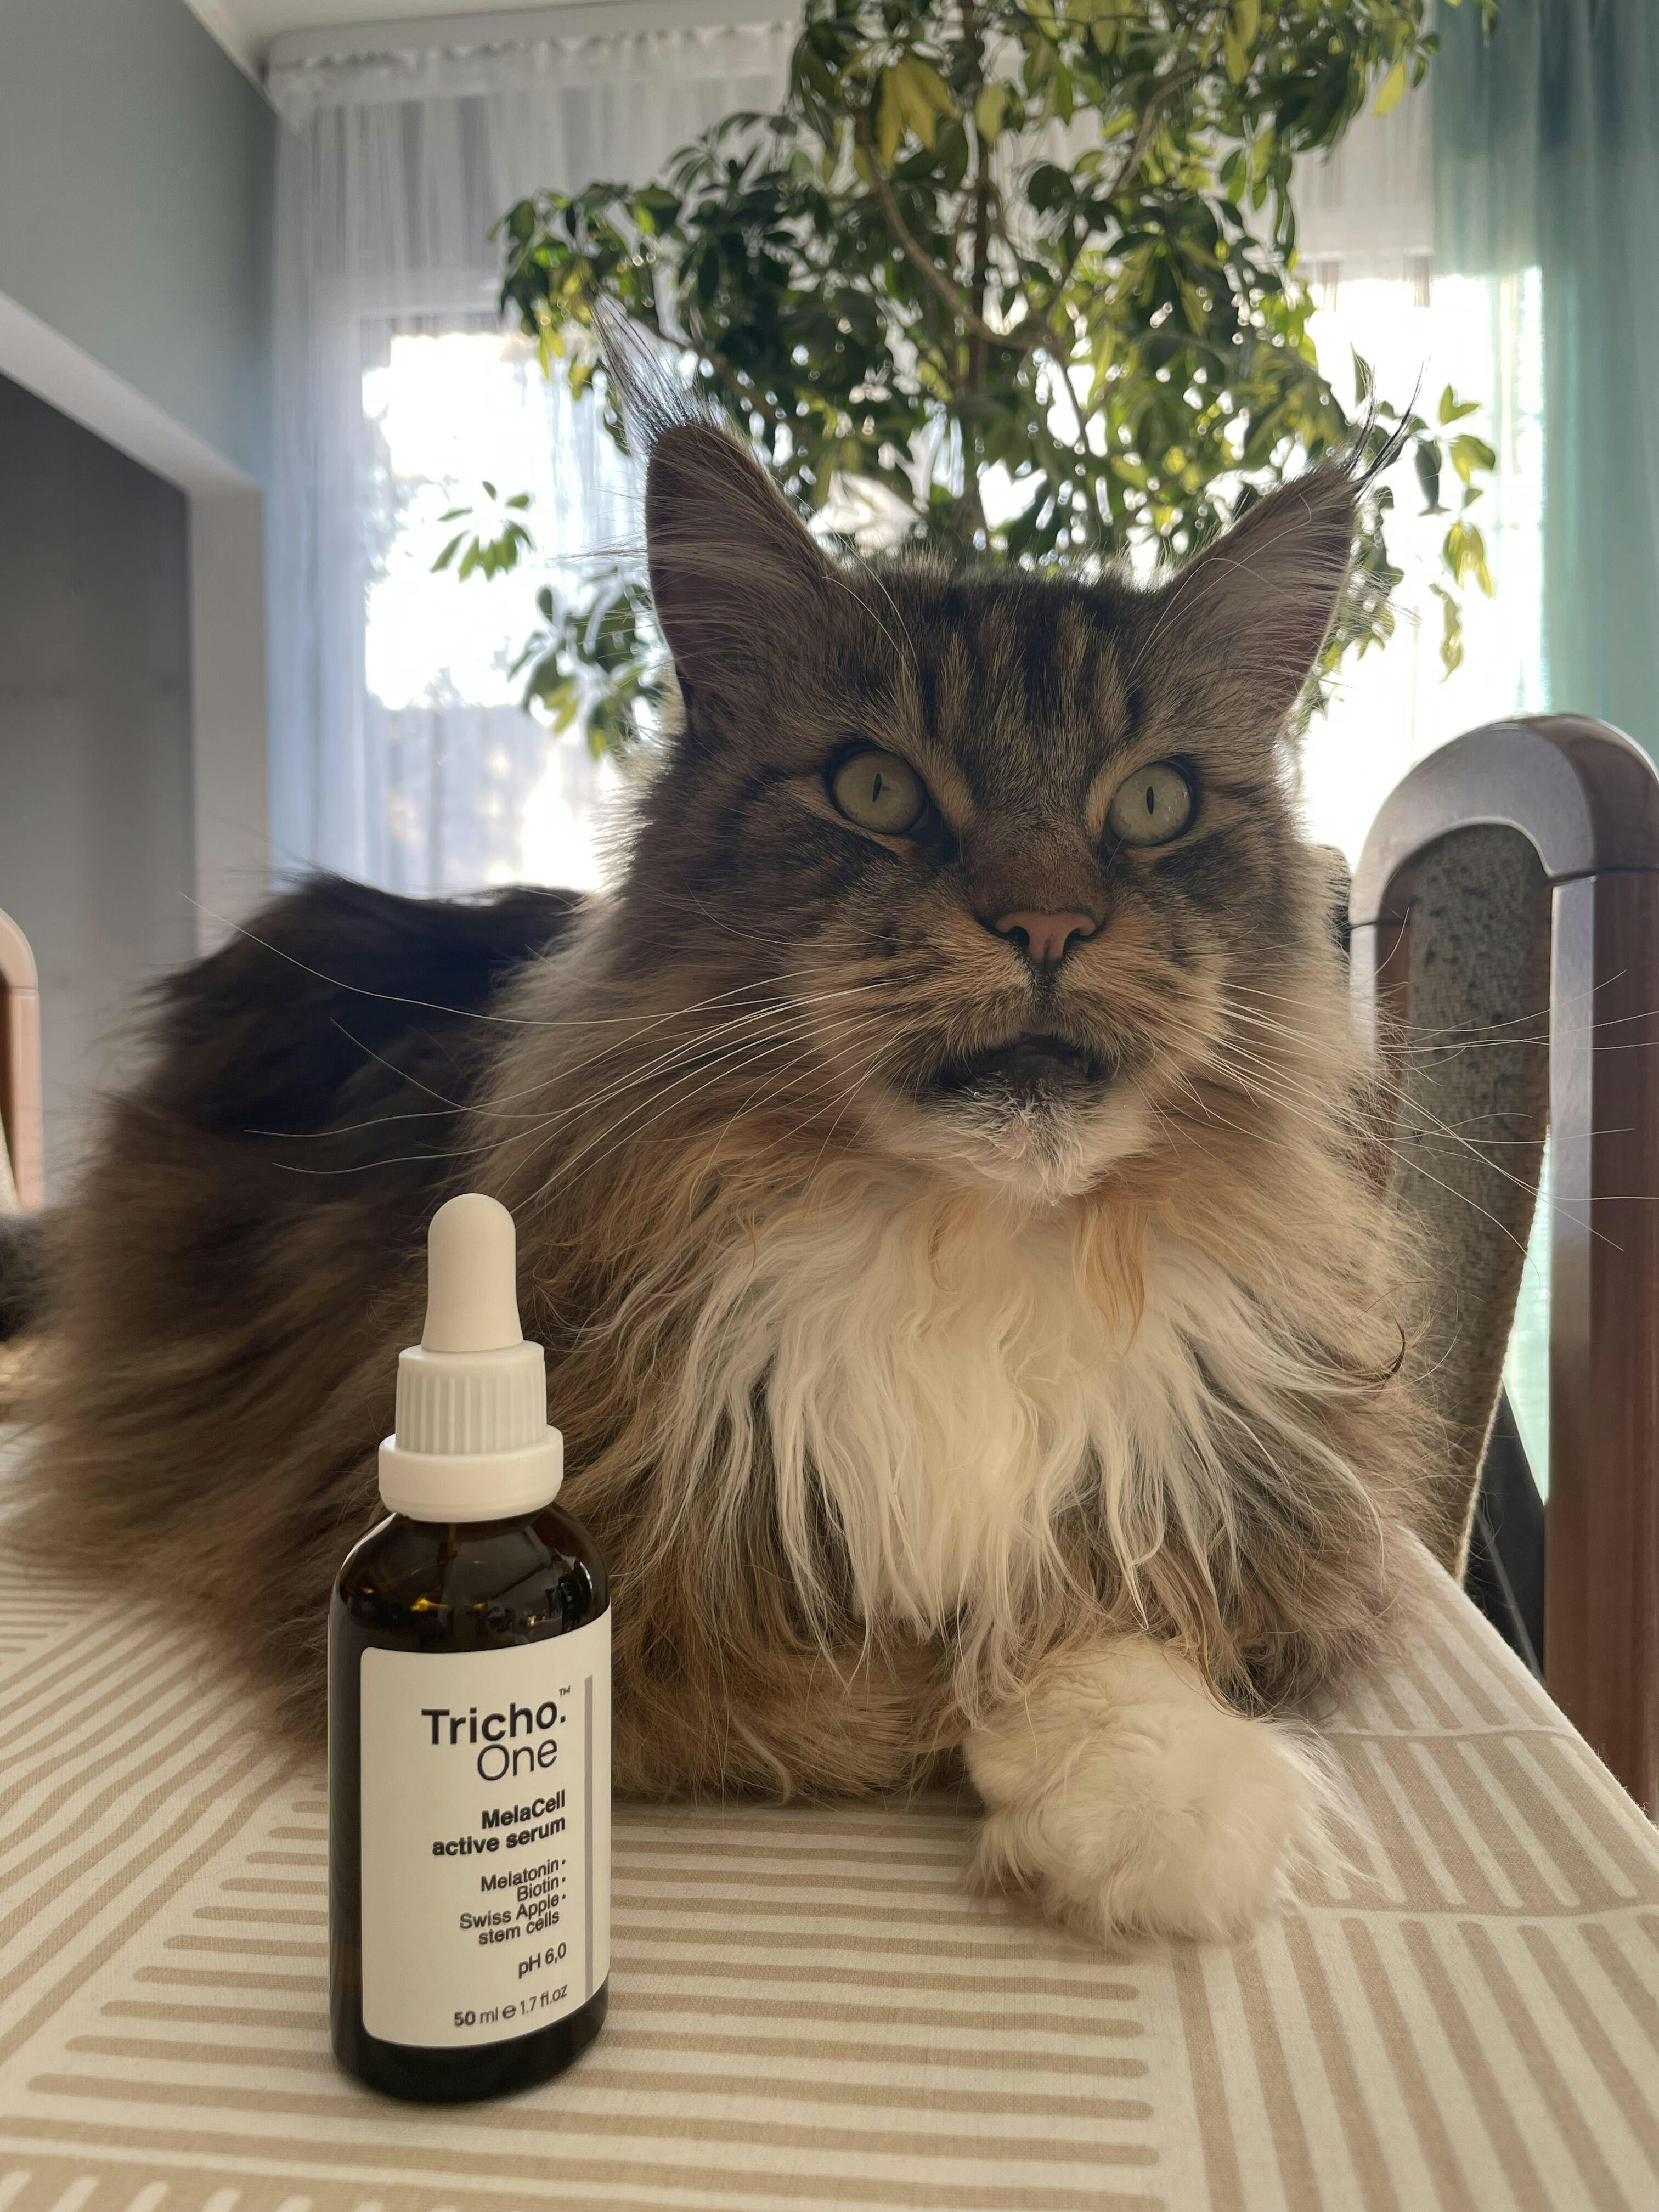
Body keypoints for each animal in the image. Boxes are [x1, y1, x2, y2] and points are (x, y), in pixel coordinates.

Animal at [5, 401, 1434, 1944]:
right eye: (875, 788)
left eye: (1158, 803)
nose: (1047, 922)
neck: (958, 1243)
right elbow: (873, 1690)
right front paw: (987, 1721)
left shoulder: (1249, 1506)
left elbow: (1119, 1606)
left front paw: (1151, 1799)